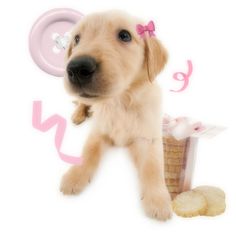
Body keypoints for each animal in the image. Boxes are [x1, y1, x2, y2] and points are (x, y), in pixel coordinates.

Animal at [60, 10, 172, 221]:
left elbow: (153, 166)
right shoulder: (98, 132)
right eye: (77, 39)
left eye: (125, 35)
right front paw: (75, 176)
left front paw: (158, 199)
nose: (77, 68)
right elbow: (88, 152)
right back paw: (78, 115)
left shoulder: (149, 138)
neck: (121, 101)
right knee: (82, 102)